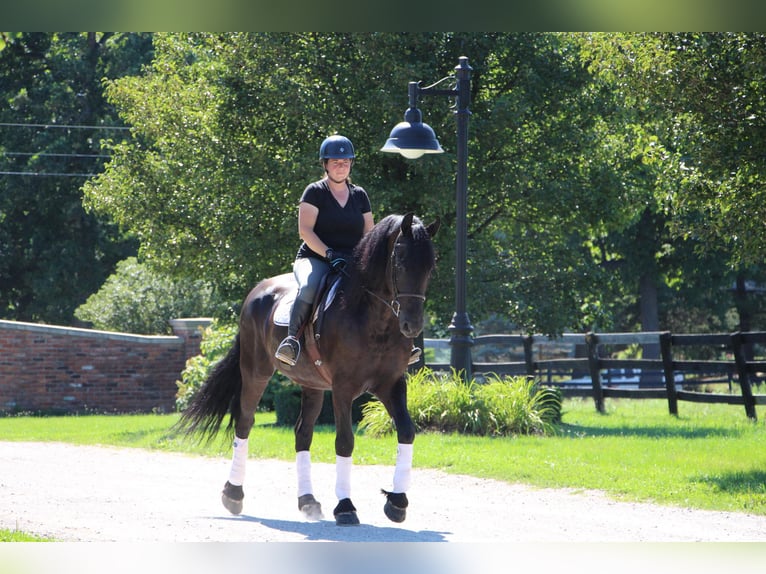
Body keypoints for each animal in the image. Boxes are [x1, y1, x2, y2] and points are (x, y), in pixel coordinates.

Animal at [175, 215, 438, 528]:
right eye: (400, 261)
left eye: (430, 266)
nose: (413, 325)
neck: (374, 315)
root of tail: (257, 290)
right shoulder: (343, 388)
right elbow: (345, 442)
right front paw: (346, 507)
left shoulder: (391, 384)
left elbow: (407, 432)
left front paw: (396, 501)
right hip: (256, 373)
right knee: (245, 422)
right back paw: (233, 494)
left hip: (311, 383)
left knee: (302, 433)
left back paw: (308, 502)